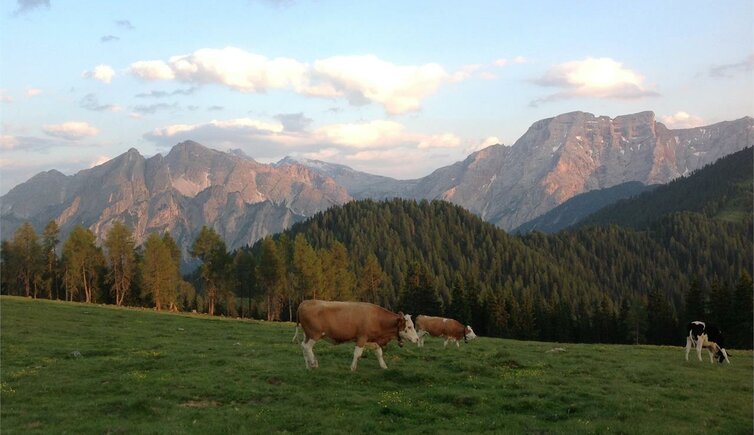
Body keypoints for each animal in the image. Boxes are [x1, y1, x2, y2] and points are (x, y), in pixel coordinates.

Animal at [290, 302, 418, 372]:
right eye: (410, 326)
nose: (417, 339)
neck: (377, 319)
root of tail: (305, 302)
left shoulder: (373, 340)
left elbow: (379, 353)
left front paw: (384, 366)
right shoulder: (361, 338)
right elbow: (357, 354)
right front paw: (352, 368)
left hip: (307, 334)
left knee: (303, 346)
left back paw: (308, 365)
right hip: (314, 334)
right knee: (307, 347)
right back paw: (313, 363)